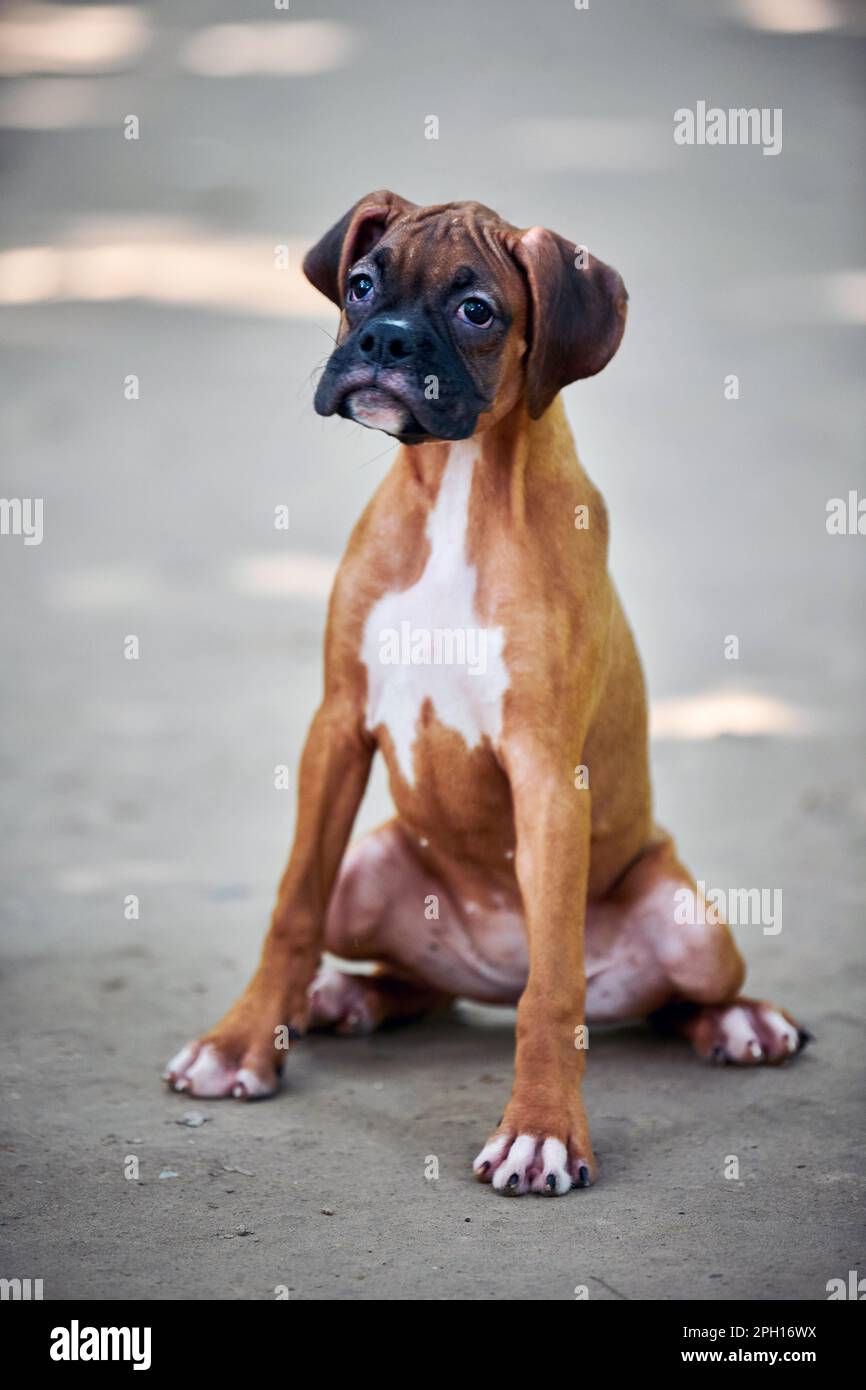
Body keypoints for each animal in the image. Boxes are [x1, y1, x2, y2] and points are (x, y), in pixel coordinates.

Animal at [164, 193, 811, 1195]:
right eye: (362, 284)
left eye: (477, 311)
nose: (385, 340)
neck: (458, 488)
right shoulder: (335, 729)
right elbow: (290, 907)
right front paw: (240, 1045)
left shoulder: (546, 773)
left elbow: (556, 987)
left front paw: (541, 1131)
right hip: (368, 876)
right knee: (413, 977)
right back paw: (341, 996)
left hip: (689, 926)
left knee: (666, 996)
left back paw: (746, 1023)